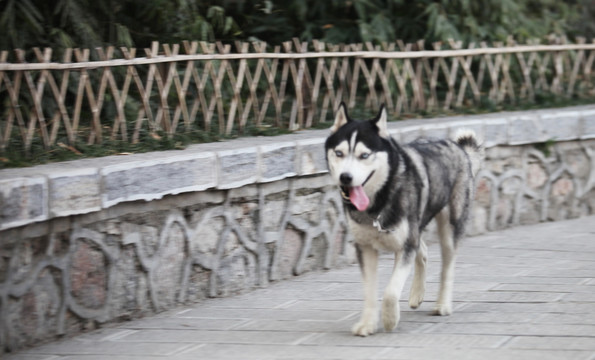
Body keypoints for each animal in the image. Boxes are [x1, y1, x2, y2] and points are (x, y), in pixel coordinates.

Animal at [326, 102, 484, 336]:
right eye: (339, 153)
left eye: (364, 155)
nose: (345, 177)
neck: (379, 201)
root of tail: (459, 147)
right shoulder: (365, 247)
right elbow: (369, 291)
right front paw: (367, 324)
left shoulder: (405, 246)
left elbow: (391, 292)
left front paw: (390, 319)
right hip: (415, 226)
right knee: (423, 251)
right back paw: (417, 294)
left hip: (448, 227)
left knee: (447, 266)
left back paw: (442, 305)